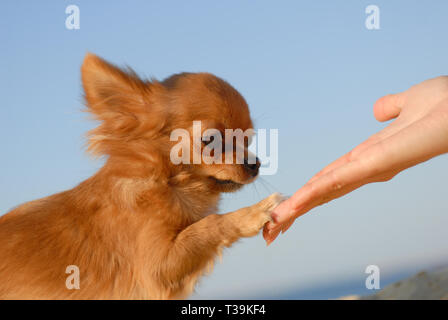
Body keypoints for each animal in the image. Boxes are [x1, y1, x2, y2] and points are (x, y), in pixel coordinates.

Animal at [0, 53, 282, 300]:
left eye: (248, 139)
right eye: (211, 140)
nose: (255, 164)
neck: (168, 183)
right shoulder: (157, 268)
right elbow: (207, 224)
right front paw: (253, 212)